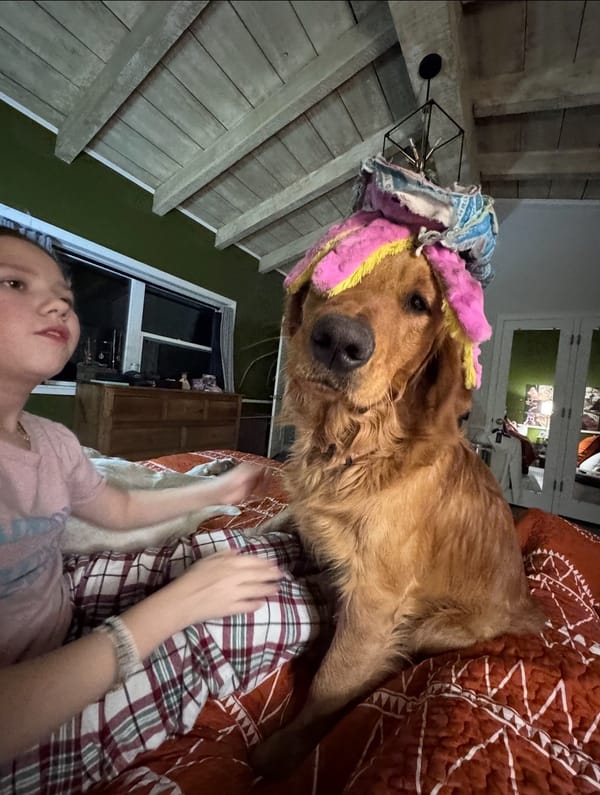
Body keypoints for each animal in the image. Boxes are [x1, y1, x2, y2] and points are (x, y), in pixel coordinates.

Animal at [249, 221, 545, 778]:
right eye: (333, 270)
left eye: (418, 303)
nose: (339, 341)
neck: (354, 445)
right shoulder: (304, 510)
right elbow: (266, 519)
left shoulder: (376, 598)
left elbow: (330, 681)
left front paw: (278, 755)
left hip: (432, 628)